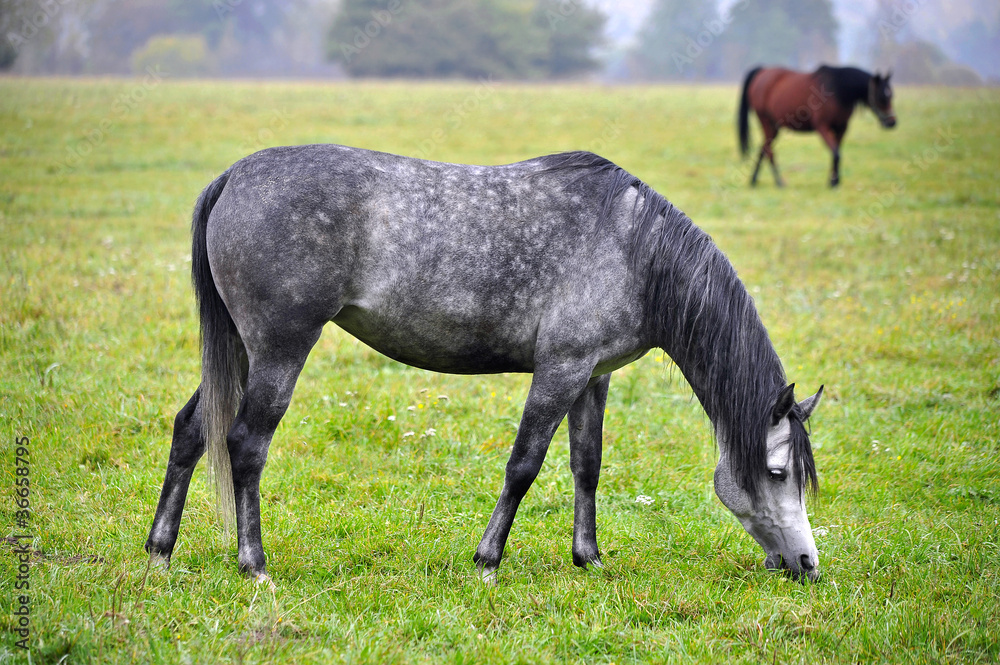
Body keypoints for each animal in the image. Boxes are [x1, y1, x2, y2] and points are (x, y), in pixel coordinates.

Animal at [145, 145, 825, 587]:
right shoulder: (560, 370)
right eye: (776, 471)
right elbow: (524, 465)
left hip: (239, 350)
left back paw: (160, 551)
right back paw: (254, 564)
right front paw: (487, 561)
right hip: (279, 351)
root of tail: (235, 176)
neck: (635, 249)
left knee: (191, 431)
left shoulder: (593, 376)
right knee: (244, 445)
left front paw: (589, 557)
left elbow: (587, 465)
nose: (807, 566)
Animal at [738, 65, 897, 187]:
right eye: (882, 97)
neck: (838, 90)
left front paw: (834, 180)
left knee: (763, 148)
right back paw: (779, 182)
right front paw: (834, 183)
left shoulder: (841, 128)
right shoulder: (823, 127)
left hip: (774, 125)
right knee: (768, 149)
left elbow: (837, 152)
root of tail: (762, 70)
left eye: (891, 95)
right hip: (766, 121)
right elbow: (836, 153)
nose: (892, 122)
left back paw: (754, 180)